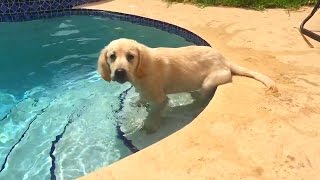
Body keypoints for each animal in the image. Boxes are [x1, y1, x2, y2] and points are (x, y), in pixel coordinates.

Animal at [98, 38, 278, 133]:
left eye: (131, 56)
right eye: (112, 56)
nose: (119, 72)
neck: (140, 71)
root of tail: (225, 60)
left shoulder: (160, 99)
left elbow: (154, 112)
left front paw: (150, 125)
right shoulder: (145, 91)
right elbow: (141, 98)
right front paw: (137, 104)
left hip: (209, 82)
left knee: (202, 99)